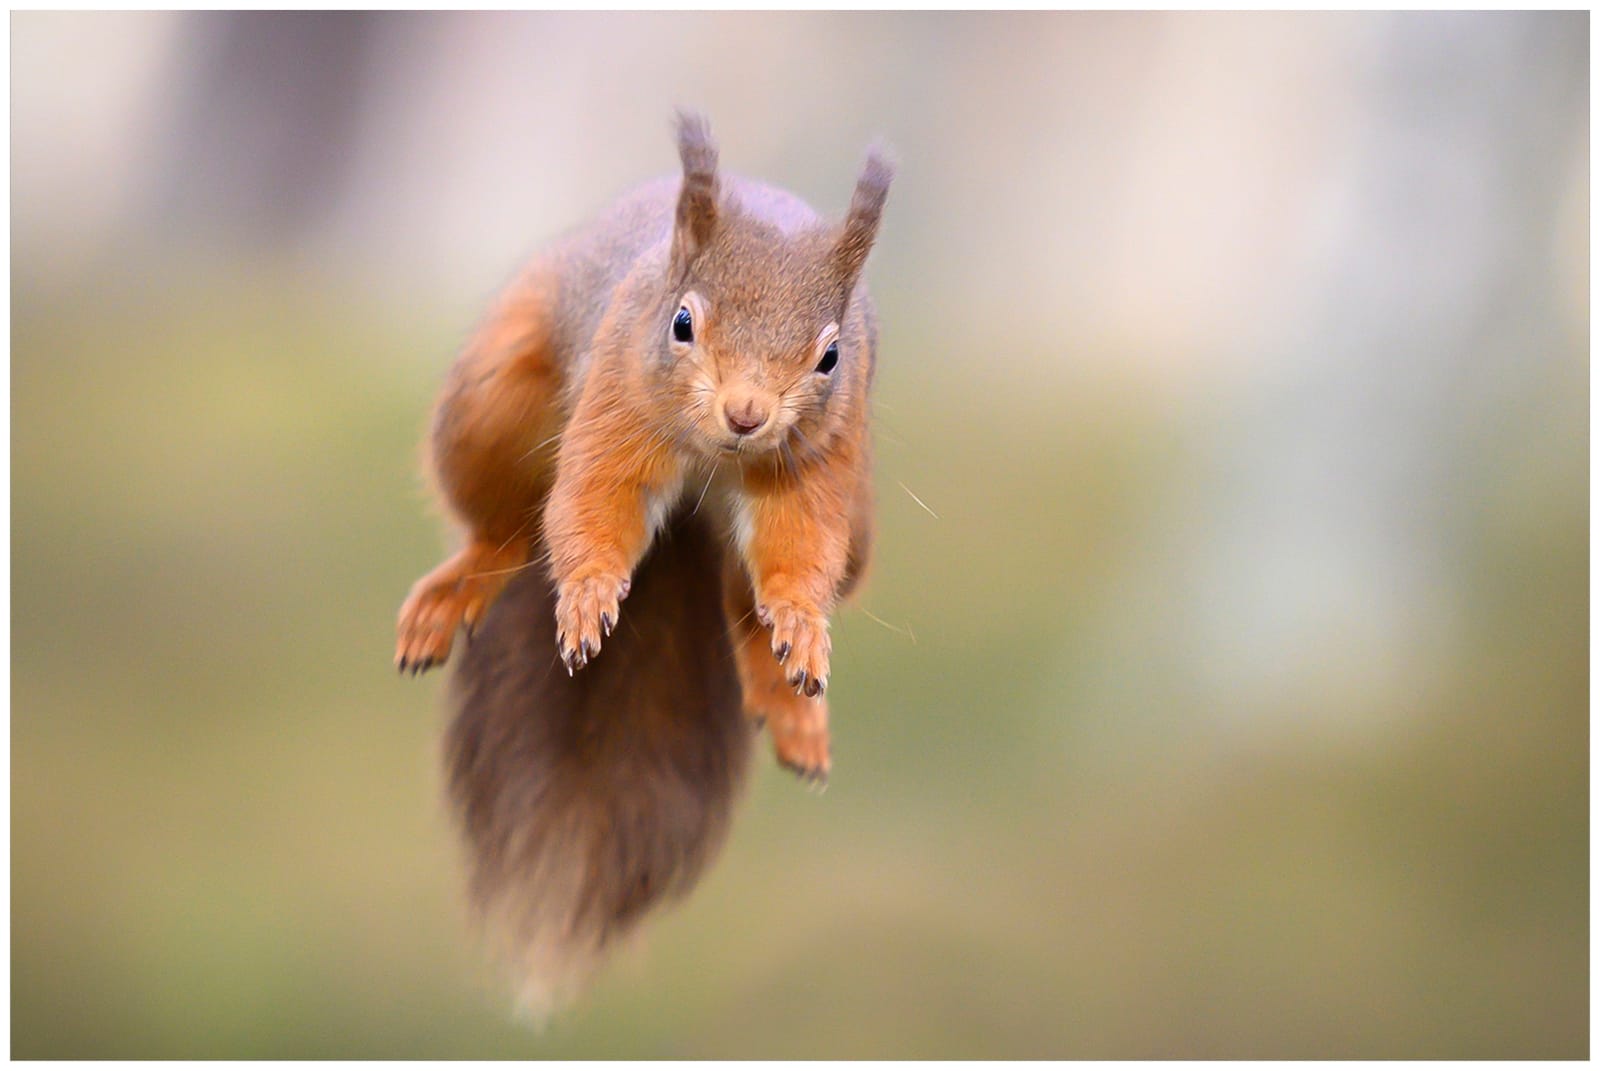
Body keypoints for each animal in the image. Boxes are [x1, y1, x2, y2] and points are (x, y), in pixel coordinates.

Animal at [395, 112, 892, 1014]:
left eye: (831, 357)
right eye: (682, 323)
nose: (746, 412)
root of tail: (695, 520)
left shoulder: (815, 463)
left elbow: (796, 551)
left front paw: (801, 623)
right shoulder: (617, 398)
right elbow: (594, 502)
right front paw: (590, 596)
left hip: (861, 513)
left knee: (742, 599)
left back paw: (786, 693)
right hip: (495, 398)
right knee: (509, 529)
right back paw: (459, 586)